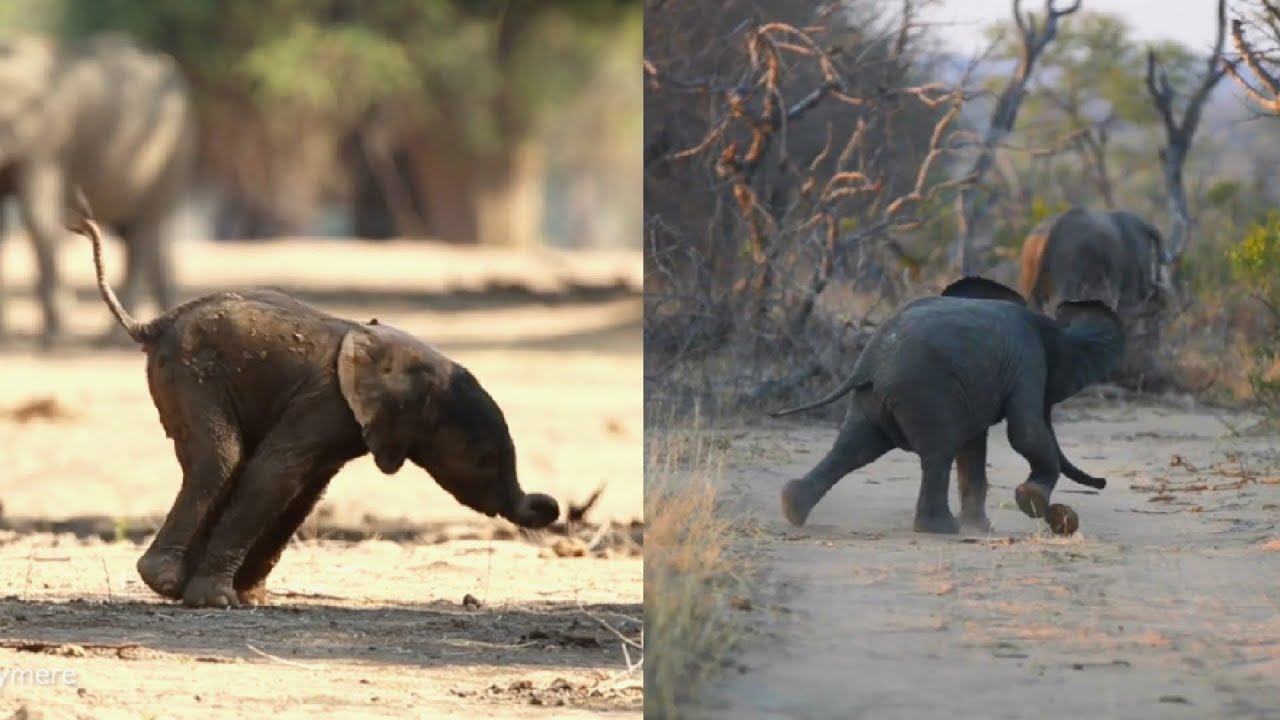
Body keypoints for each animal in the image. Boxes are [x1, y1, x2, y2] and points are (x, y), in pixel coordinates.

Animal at [0, 33, 196, 347]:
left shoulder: (48, 139)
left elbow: (38, 218)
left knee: (143, 232)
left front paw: (54, 341)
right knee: (144, 235)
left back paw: (114, 341)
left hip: (176, 148)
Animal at [68, 202, 560, 608]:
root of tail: (155, 323)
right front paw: (220, 602)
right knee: (224, 459)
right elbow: (274, 473)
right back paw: (166, 582)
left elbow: (304, 492)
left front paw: (250, 598)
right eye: (484, 460)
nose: (550, 506)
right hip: (193, 373)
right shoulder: (325, 402)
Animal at [771, 276, 1123, 535]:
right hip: (926, 394)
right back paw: (941, 529)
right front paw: (1030, 502)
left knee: (854, 447)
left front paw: (981, 528)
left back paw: (791, 508)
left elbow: (974, 447)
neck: (1047, 324)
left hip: (873, 397)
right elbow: (1025, 432)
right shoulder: (1028, 362)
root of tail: (868, 361)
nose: (1103, 483)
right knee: (936, 452)